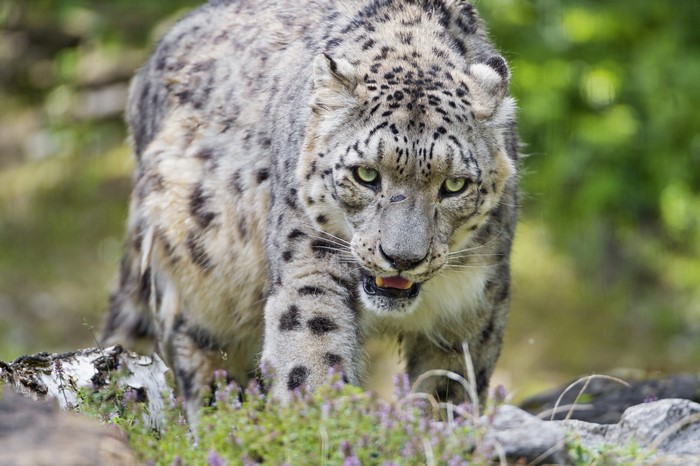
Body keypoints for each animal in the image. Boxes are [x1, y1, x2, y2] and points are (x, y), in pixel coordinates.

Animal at [102, 0, 520, 420]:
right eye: (366, 174)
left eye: (454, 185)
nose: (402, 259)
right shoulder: (309, 259)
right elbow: (312, 346)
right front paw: (325, 418)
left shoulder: (472, 307)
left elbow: (449, 388)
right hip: (201, 283)